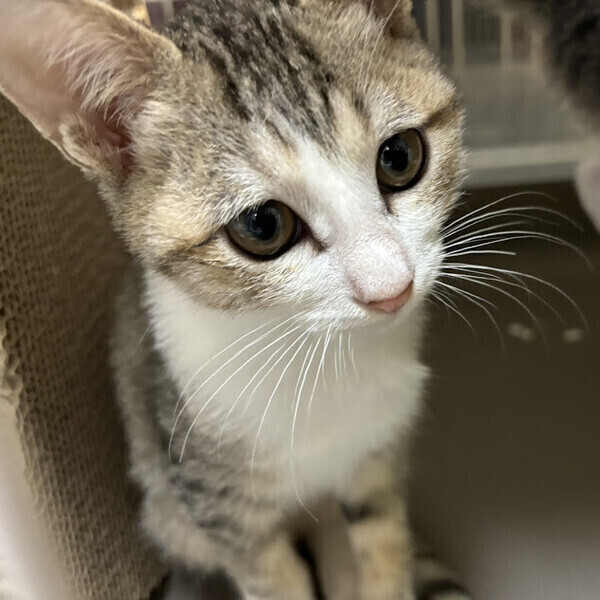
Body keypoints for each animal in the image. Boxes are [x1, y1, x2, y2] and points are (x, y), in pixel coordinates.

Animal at [0, 1, 470, 598]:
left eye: (400, 156)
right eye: (263, 225)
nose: (392, 289)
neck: (324, 360)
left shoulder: (378, 462)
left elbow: (384, 554)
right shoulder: (221, 507)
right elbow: (275, 583)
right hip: (170, 511)